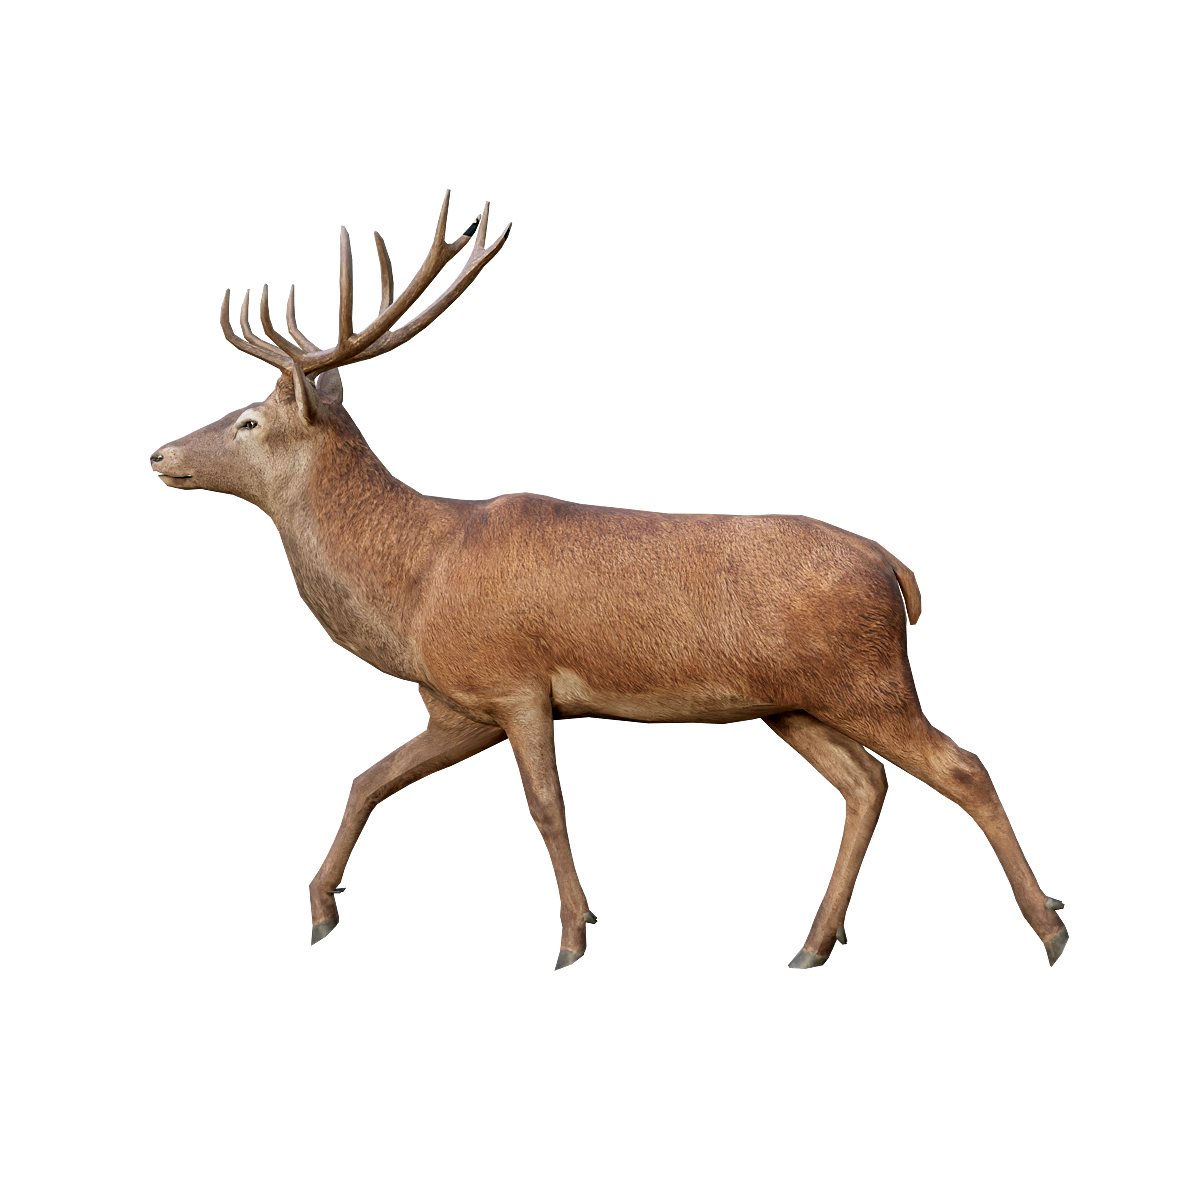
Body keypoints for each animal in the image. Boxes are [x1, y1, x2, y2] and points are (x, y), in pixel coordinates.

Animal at [151, 190, 1069, 971]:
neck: (415, 589)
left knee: (961, 769)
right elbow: (370, 780)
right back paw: (812, 945)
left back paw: (1047, 931)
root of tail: (896, 573)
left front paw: (577, 935)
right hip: (794, 701)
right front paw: (320, 908)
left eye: (249, 421)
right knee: (865, 784)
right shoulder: (461, 701)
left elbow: (546, 807)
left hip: (866, 677)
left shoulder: (515, 681)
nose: (162, 454)